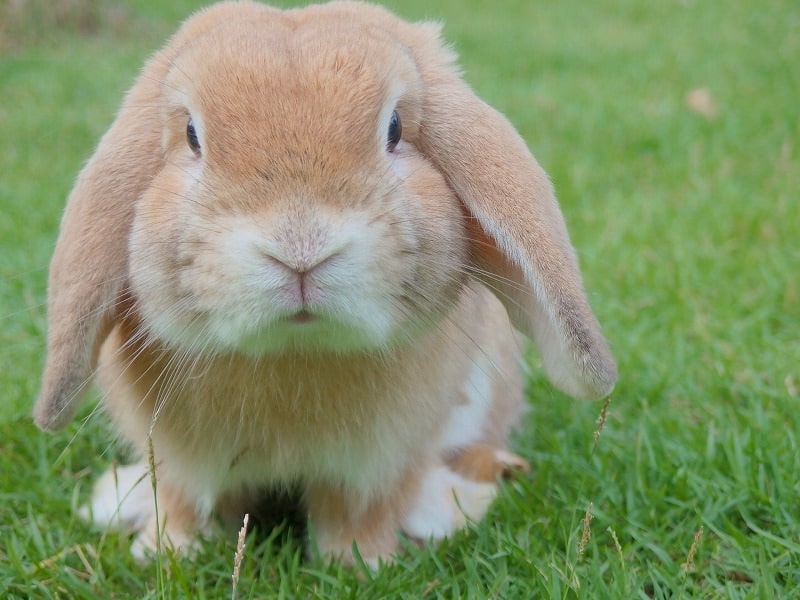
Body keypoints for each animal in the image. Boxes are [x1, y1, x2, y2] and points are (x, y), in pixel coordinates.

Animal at [34, 0, 617, 565]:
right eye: (193, 136)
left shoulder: (376, 465)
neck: (294, 351)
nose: (300, 248)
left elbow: (356, 513)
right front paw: (165, 553)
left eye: (395, 128)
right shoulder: (179, 461)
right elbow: (184, 503)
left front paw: (361, 564)